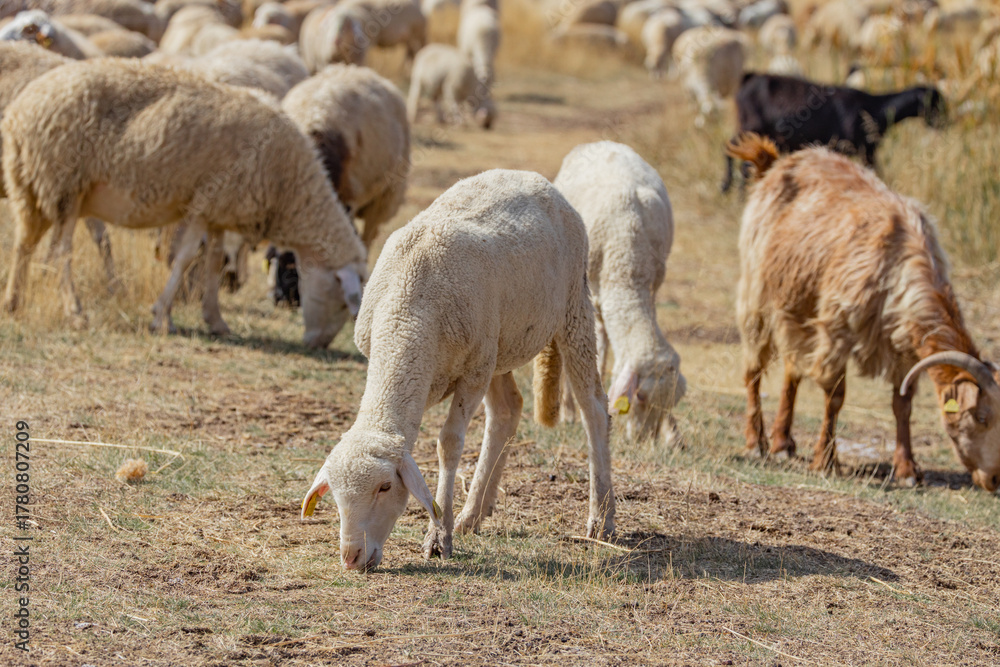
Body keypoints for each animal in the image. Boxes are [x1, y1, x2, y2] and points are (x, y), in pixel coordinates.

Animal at [2, 58, 367, 348]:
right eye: (342, 302)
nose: (319, 345)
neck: (289, 183)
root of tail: (20, 109)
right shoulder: (204, 202)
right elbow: (186, 258)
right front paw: (162, 316)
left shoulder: (220, 211)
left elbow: (214, 263)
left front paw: (215, 319)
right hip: (64, 183)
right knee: (62, 252)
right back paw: (74, 312)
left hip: (32, 185)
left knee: (24, 244)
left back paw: (13, 302)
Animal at [300, 169, 616, 570]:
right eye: (336, 496)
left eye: (385, 487)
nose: (352, 558)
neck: (406, 315)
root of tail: (532, 177)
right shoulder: (463, 364)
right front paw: (450, 525)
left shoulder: (473, 373)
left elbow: (448, 444)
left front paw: (439, 536)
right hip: (499, 344)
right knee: (507, 410)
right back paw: (473, 514)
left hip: (573, 307)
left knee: (594, 408)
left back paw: (601, 519)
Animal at [553, 141, 686, 444]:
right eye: (640, 396)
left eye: (668, 403)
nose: (640, 439)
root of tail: (602, 142)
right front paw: (574, 412)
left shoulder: (652, 288)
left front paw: (669, 432)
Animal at [720, 73, 947, 192]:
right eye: (936, 103)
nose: (945, 123)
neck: (875, 108)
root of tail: (748, 78)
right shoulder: (864, 151)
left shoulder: (864, 152)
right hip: (751, 128)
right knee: (732, 151)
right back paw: (727, 187)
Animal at [728, 132, 1000, 493]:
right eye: (981, 417)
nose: (995, 479)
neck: (899, 257)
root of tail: (775, 163)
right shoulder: (837, 328)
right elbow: (835, 395)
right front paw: (825, 462)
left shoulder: (903, 344)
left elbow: (902, 404)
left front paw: (907, 470)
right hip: (758, 291)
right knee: (754, 369)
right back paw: (756, 443)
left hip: (799, 303)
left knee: (791, 368)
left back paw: (783, 442)